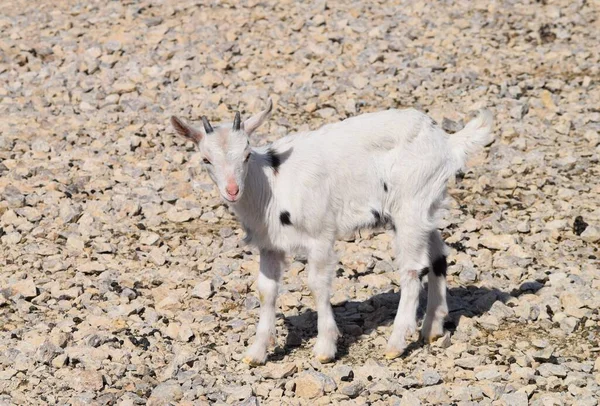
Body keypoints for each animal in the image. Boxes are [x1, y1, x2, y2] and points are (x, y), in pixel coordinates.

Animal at [170, 99, 492, 364]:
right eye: (206, 159)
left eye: (247, 154)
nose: (232, 190)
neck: (271, 185)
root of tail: (447, 142)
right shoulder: (270, 245)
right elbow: (266, 291)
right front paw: (256, 353)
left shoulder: (320, 235)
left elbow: (317, 284)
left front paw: (325, 347)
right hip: (427, 205)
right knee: (438, 256)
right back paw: (432, 327)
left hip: (410, 204)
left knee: (412, 270)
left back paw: (395, 344)